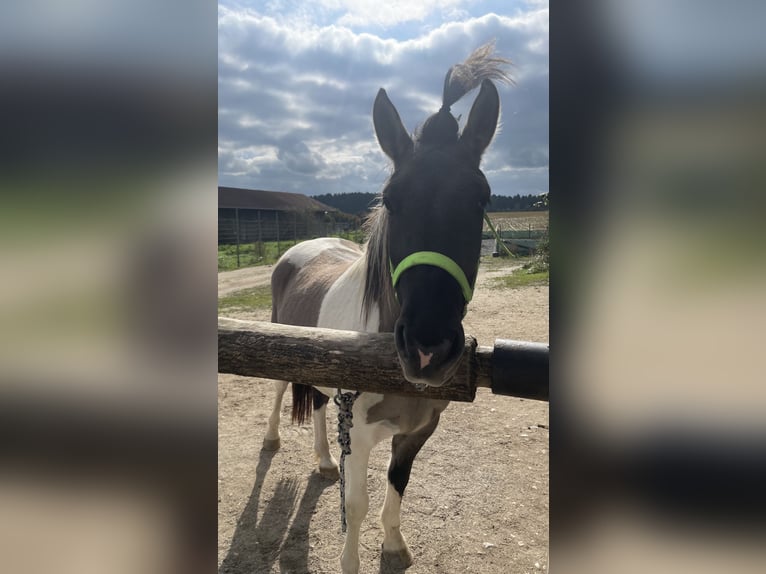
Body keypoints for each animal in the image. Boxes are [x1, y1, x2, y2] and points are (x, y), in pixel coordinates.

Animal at [263, 43, 511, 574]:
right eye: (392, 201)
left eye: (481, 199)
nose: (427, 348)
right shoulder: (359, 433)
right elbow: (355, 504)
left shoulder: (416, 432)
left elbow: (397, 487)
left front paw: (394, 546)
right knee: (278, 393)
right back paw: (273, 439)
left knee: (318, 408)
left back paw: (323, 462)